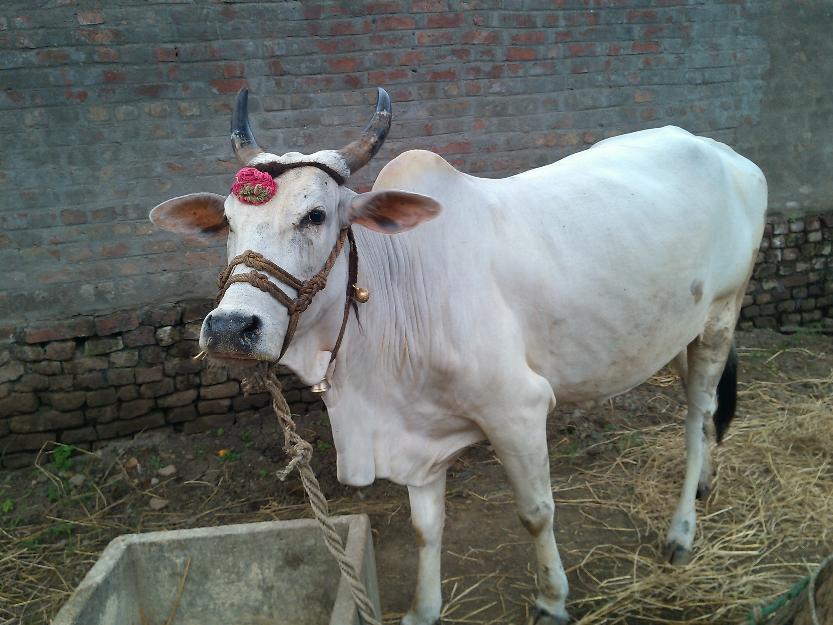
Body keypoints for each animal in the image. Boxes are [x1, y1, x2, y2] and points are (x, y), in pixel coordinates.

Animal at [150, 87, 767, 625]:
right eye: (228, 223)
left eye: (316, 216)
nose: (231, 327)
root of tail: (728, 155)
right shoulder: (416, 436)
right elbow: (426, 526)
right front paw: (423, 610)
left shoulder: (518, 410)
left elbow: (536, 512)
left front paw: (551, 601)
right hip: (683, 330)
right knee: (706, 410)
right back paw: (705, 484)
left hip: (721, 314)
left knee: (697, 411)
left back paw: (682, 530)